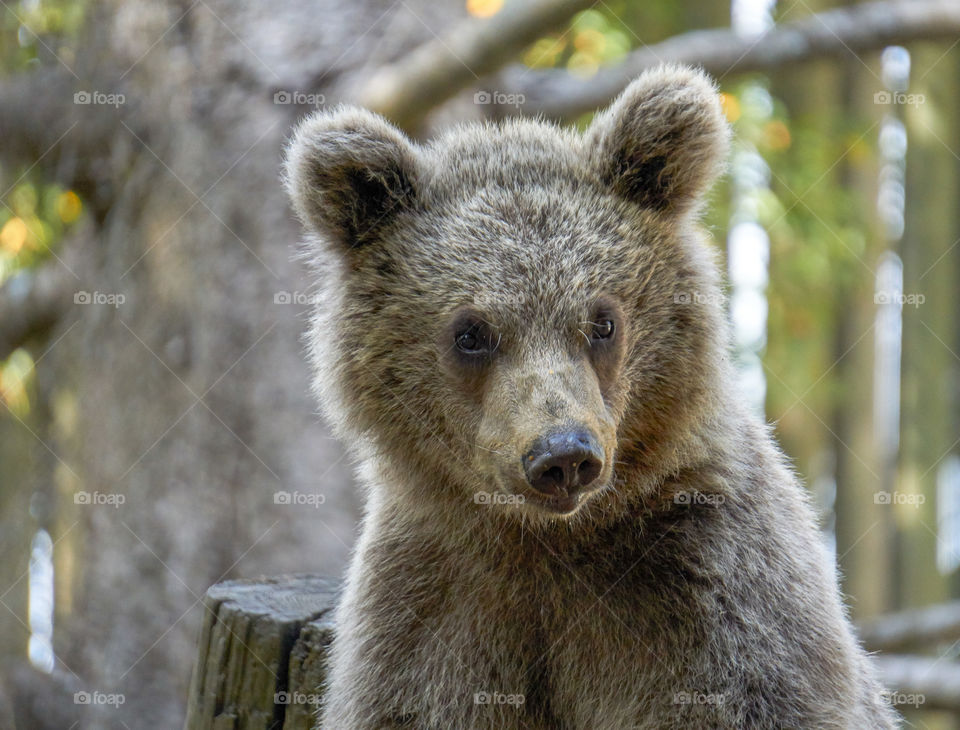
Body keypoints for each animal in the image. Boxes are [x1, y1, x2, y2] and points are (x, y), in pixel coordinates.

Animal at [283, 65, 899, 729]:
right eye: (471, 332)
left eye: (602, 320)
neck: (551, 539)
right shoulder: (435, 607)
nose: (562, 455)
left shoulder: (717, 597)